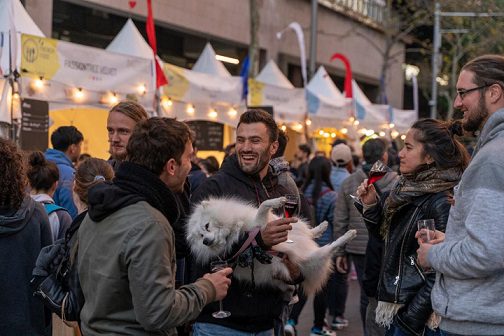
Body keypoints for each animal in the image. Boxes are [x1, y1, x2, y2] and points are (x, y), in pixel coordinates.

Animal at [187, 196, 356, 296]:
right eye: (200, 236)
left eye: (206, 226)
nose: (205, 242)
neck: (235, 227)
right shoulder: (259, 226)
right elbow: (263, 206)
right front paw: (276, 201)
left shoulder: (271, 222)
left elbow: (265, 206)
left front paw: (276, 201)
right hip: (315, 259)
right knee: (330, 248)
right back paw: (348, 235)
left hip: (297, 231)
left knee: (304, 230)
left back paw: (321, 227)